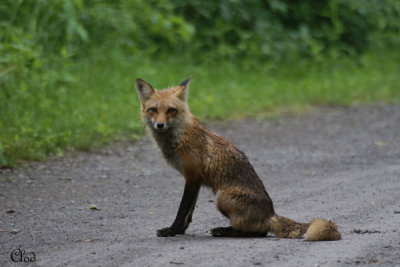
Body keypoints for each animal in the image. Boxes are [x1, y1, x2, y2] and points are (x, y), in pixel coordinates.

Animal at [135, 78, 340, 243]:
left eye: (171, 110)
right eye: (153, 110)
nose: (160, 125)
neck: (179, 136)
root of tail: (270, 213)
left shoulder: (192, 176)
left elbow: (182, 210)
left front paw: (171, 231)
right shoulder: (195, 180)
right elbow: (189, 213)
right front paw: (180, 231)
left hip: (222, 198)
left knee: (259, 232)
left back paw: (222, 231)